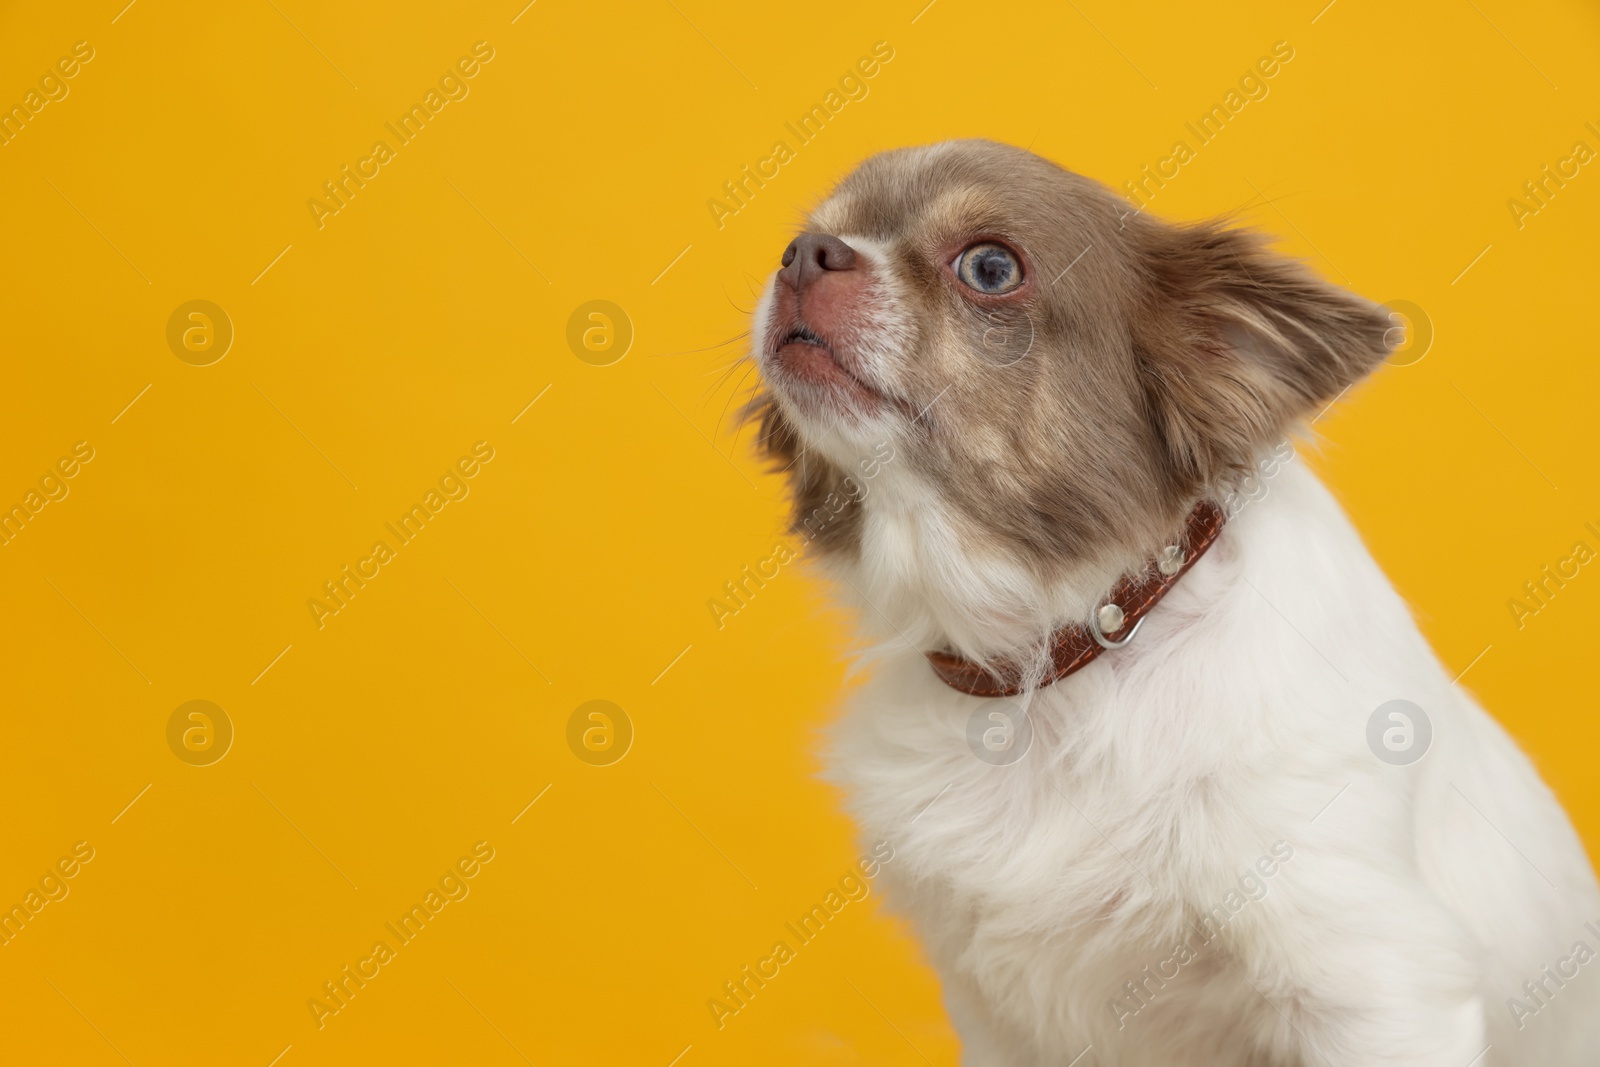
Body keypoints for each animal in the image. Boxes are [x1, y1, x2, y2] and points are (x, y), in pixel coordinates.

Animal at [745, 139, 1600, 1062]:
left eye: (990, 267)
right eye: (809, 233)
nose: (803, 254)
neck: (1065, 653)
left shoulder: (1374, 981)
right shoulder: (997, 1016)